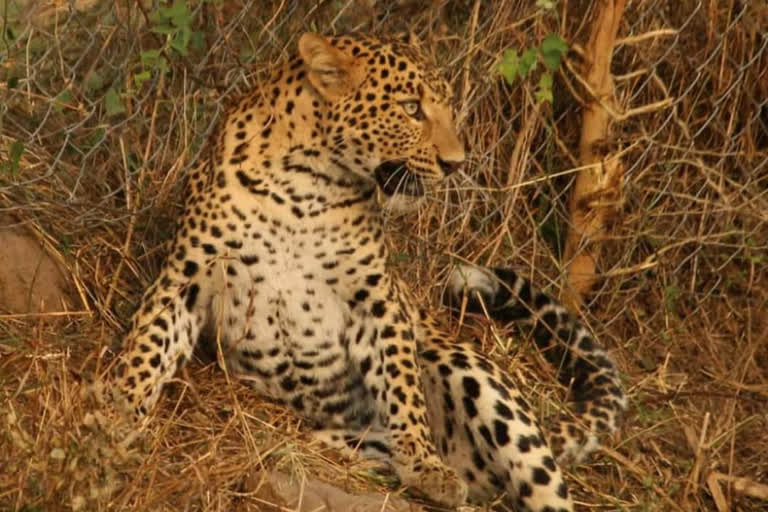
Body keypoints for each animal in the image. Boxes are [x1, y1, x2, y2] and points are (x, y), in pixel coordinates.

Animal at [112, 33, 624, 512]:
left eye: (445, 108)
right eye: (411, 108)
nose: (455, 164)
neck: (304, 186)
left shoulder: (376, 298)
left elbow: (401, 384)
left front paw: (424, 463)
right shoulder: (185, 279)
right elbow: (146, 348)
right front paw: (114, 415)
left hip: (469, 369)